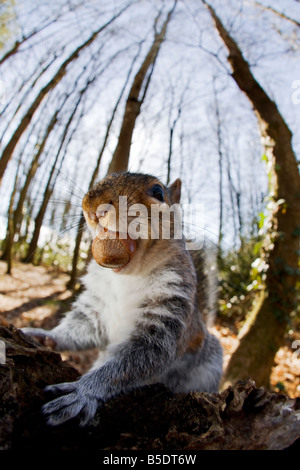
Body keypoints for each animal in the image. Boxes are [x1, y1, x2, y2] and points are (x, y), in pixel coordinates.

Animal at [22, 172, 221, 426]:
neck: (127, 277)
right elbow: (82, 327)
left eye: (158, 192)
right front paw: (44, 335)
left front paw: (82, 392)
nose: (93, 207)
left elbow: (134, 363)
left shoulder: (167, 312)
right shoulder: (97, 305)